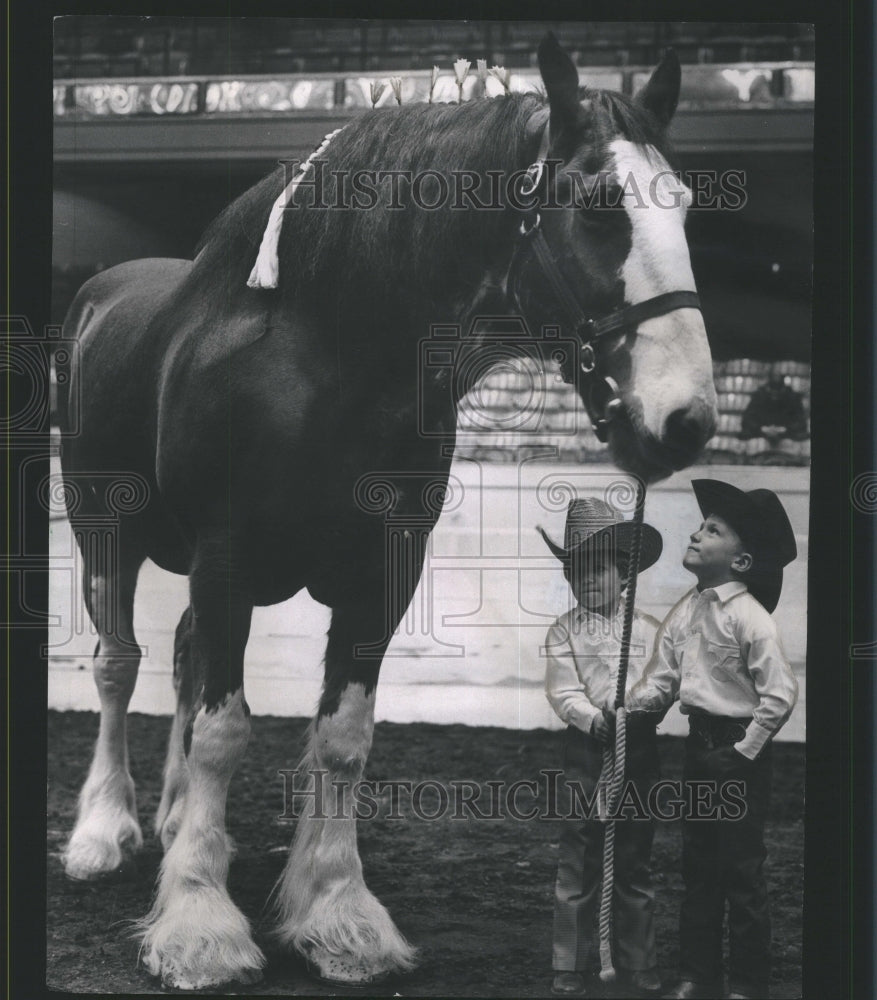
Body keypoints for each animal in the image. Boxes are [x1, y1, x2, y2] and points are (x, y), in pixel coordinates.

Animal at [60, 33, 720, 992]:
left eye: (686, 208)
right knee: (118, 666)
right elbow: (223, 731)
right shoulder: (224, 558)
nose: (686, 419)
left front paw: (336, 915)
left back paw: (183, 820)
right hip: (102, 536)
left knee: (179, 658)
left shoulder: (382, 569)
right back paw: (105, 833)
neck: (323, 355)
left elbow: (343, 737)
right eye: (600, 208)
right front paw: (198, 924)